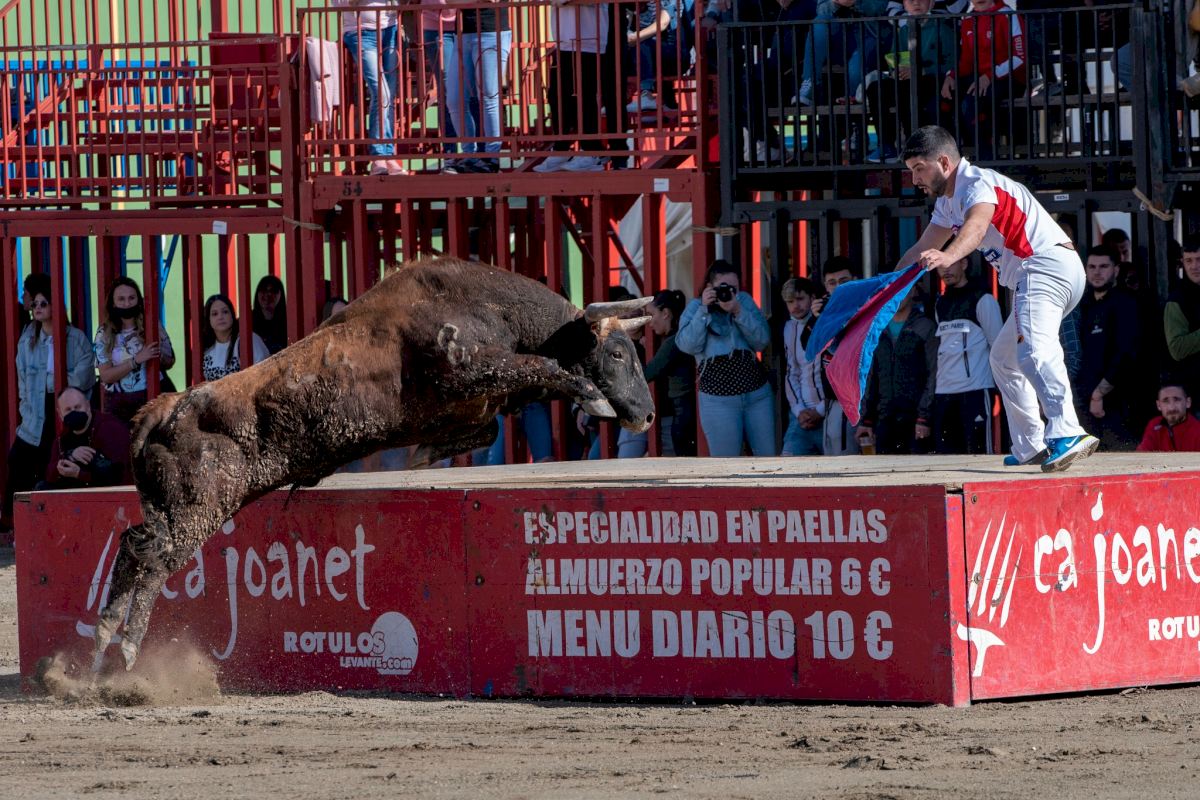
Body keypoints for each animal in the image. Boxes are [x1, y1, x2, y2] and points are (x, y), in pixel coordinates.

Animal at [92, 257, 655, 672]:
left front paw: (425, 454)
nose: (648, 415)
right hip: (198, 510)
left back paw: (101, 644)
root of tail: (164, 409)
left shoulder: (470, 404)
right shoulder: (474, 368)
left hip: (168, 508)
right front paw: (595, 400)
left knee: (134, 547)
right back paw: (126, 649)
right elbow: (549, 367)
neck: (491, 308)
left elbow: (489, 427)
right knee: (155, 560)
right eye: (619, 353)